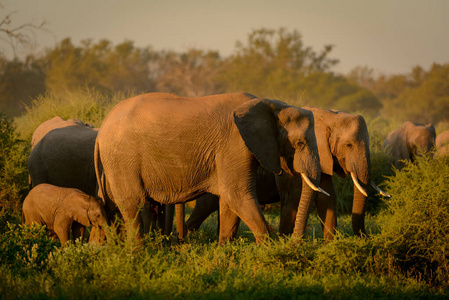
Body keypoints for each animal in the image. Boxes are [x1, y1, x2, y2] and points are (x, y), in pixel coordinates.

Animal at [95, 91, 326, 244]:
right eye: (300, 143)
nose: (294, 243)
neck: (270, 104)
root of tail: (102, 127)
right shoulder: (234, 144)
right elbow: (237, 195)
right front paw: (270, 252)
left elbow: (230, 203)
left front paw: (224, 253)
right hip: (122, 157)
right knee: (133, 204)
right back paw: (138, 253)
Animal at [184, 106, 386, 240]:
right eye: (349, 145)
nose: (365, 238)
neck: (327, 115)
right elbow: (294, 197)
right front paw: (287, 244)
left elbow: (326, 198)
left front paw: (330, 245)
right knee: (205, 205)